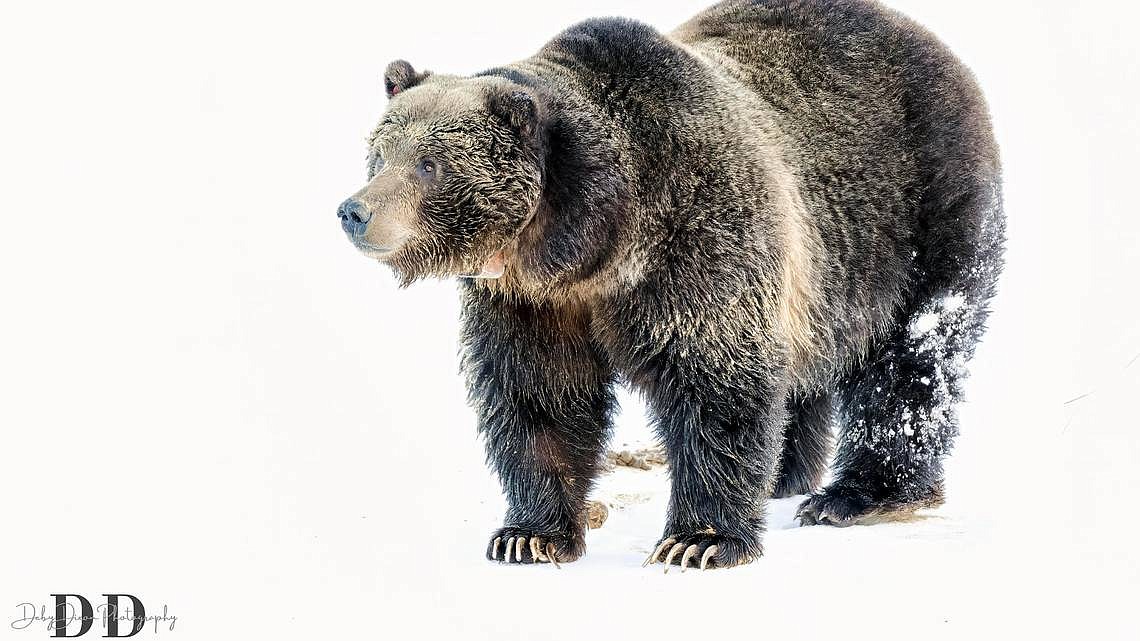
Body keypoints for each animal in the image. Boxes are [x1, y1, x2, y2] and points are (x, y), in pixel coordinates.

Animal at [335, 0, 998, 568]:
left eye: (430, 163)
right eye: (380, 152)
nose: (354, 210)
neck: (584, 247)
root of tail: (921, 34)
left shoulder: (697, 241)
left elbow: (717, 382)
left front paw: (699, 540)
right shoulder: (532, 302)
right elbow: (540, 396)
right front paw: (529, 534)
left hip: (919, 219)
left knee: (913, 360)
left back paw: (859, 494)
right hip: (821, 280)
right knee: (805, 375)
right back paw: (786, 478)